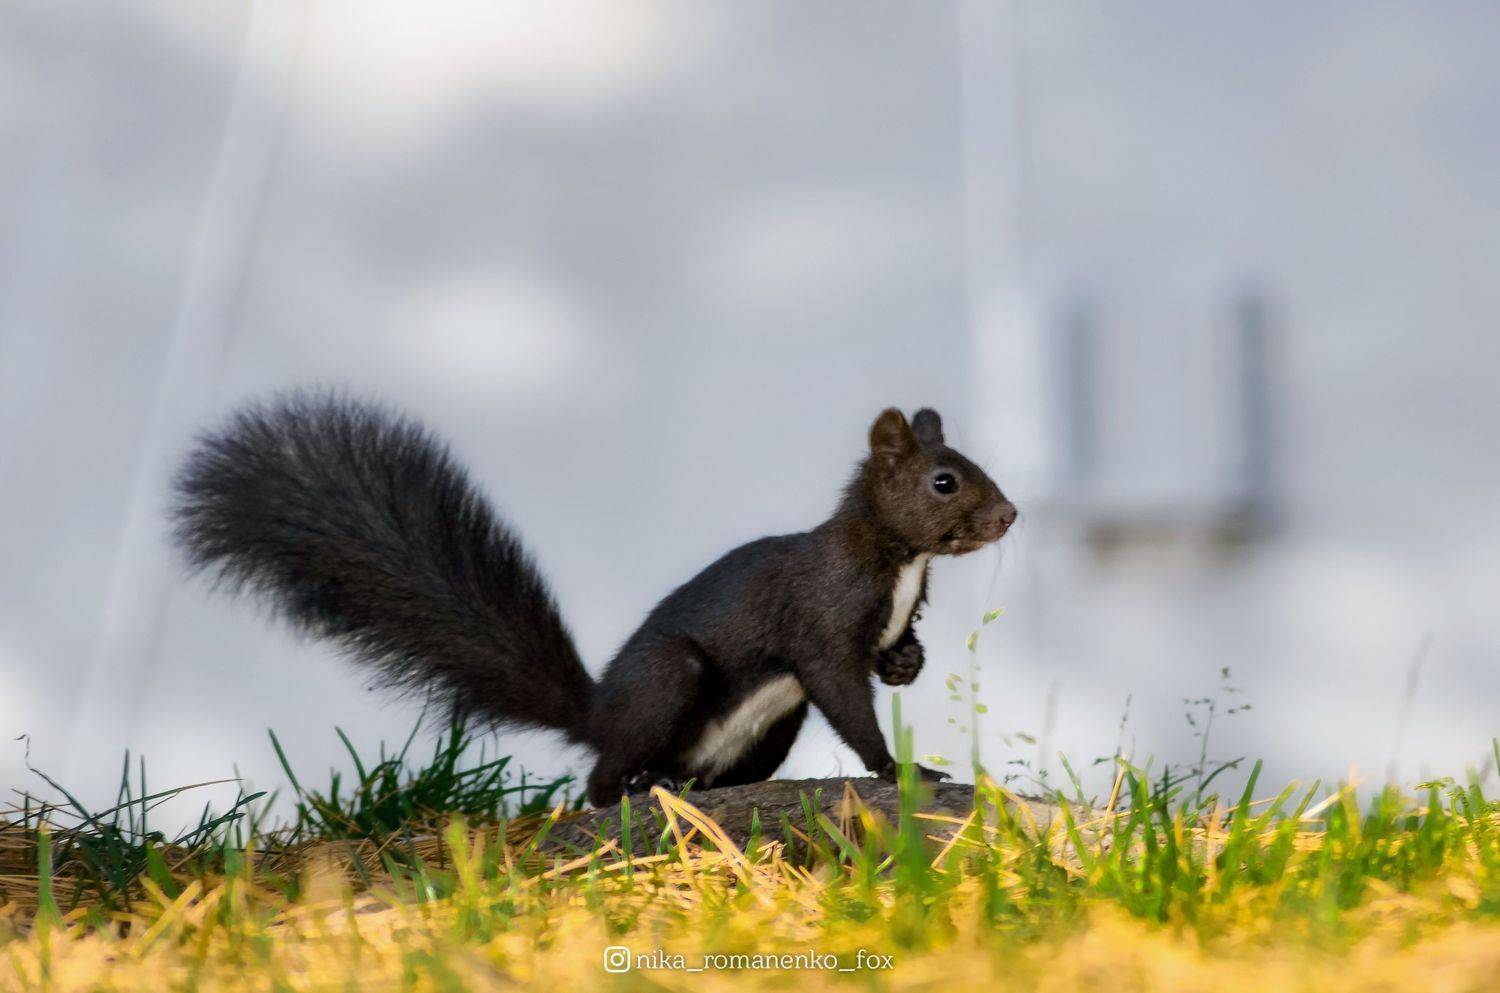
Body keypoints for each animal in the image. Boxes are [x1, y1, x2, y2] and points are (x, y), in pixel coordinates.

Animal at [173, 392, 1017, 806]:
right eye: (945, 480)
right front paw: (899, 768)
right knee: (598, 779)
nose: (1010, 515)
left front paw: (908, 664)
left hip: (771, 725)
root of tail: (596, 713)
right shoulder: (817, 623)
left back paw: (695, 786)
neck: (902, 563)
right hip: (672, 676)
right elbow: (845, 695)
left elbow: (891, 660)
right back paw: (633, 788)